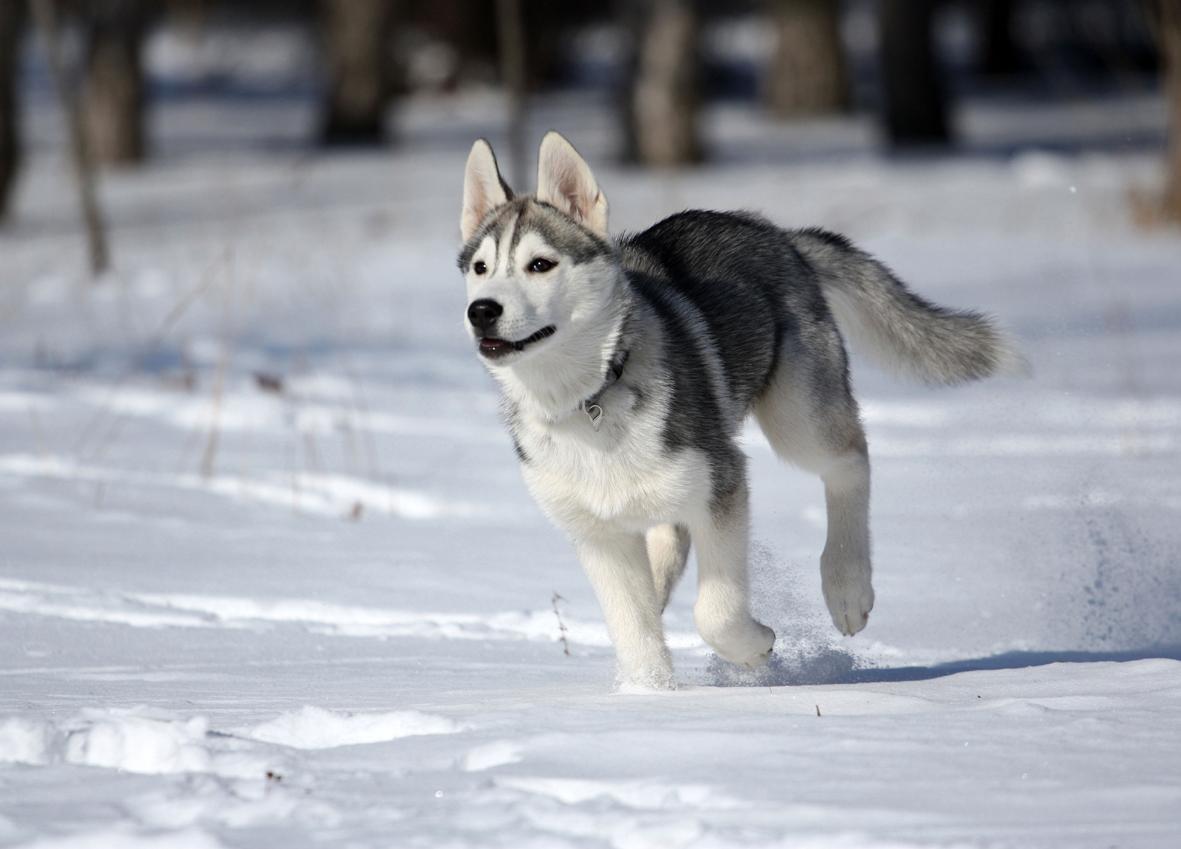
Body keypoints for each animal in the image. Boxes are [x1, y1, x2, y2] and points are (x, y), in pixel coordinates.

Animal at [460, 131, 1025, 689]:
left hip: (797, 417)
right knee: (665, 550)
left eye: (540, 264)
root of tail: (773, 232)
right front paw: (646, 695)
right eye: (480, 268)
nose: (481, 310)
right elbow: (634, 628)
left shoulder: (723, 485)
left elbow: (716, 613)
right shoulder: (598, 534)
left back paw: (847, 587)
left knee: (850, 459)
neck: (590, 397)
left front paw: (756, 649)